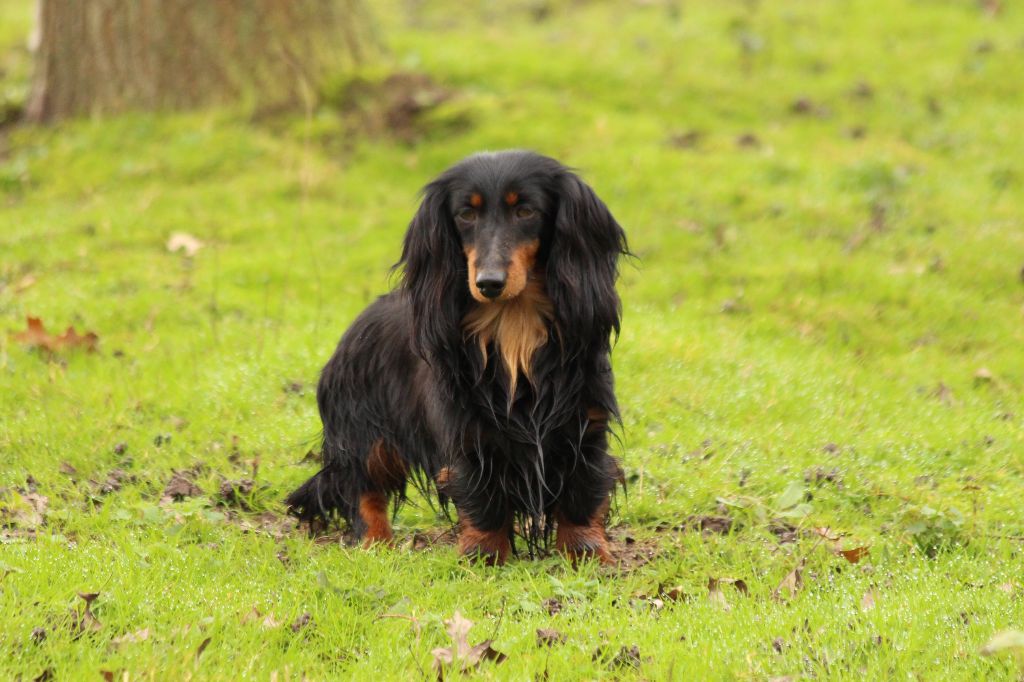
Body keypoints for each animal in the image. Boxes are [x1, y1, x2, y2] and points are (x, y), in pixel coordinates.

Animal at [284, 148, 626, 561]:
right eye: (466, 214)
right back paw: (377, 544)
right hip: (364, 433)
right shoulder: (467, 431)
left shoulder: (585, 425)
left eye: (526, 210)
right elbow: (481, 496)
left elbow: (582, 491)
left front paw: (584, 551)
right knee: (363, 488)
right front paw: (485, 554)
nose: (489, 283)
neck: (514, 329)